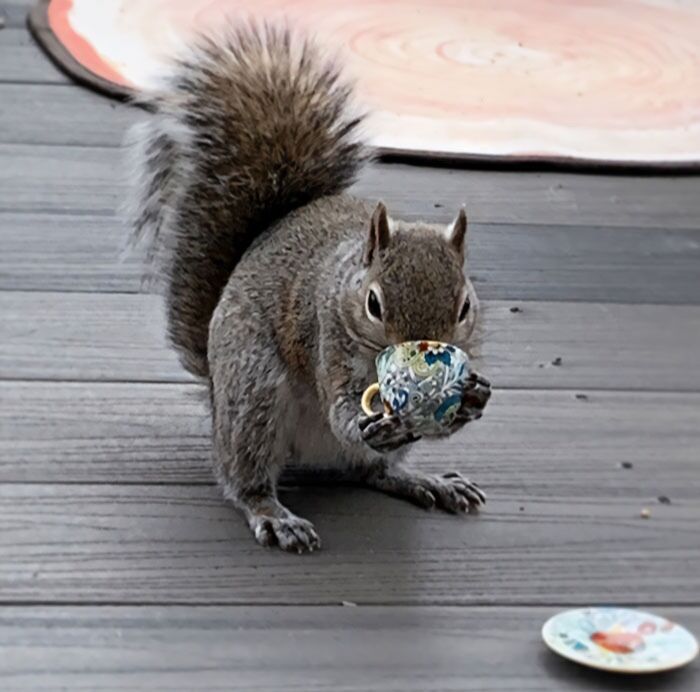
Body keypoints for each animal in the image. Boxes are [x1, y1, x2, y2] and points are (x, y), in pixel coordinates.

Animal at [126, 20, 490, 552]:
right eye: (374, 303)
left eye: (465, 307)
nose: (423, 350)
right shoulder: (324, 337)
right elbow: (341, 411)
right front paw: (369, 420)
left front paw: (475, 397)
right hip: (252, 394)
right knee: (245, 476)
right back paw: (273, 513)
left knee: (371, 472)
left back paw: (424, 481)